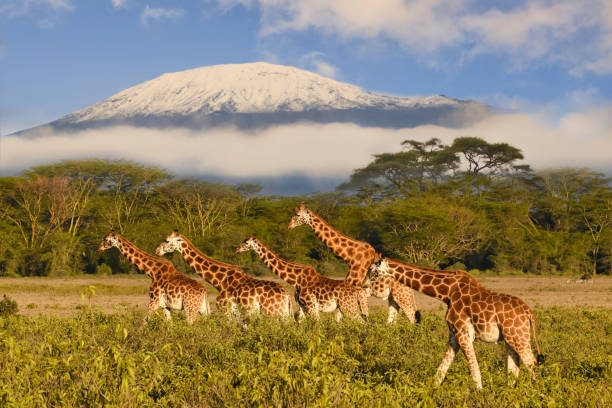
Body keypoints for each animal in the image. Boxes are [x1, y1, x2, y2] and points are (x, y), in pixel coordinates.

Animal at [154, 231, 290, 318]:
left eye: (166, 241)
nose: (157, 250)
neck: (220, 281)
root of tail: (287, 296)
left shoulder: (225, 309)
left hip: (271, 313)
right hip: (284, 315)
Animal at [237, 236, 366, 322]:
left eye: (246, 242)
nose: (237, 249)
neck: (296, 279)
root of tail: (356, 291)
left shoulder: (311, 306)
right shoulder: (303, 307)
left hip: (348, 307)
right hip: (346, 307)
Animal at [290, 202, 418, 324]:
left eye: (298, 215)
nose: (289, 226)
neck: (350, 257)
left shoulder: (355, 291)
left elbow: (343, 317)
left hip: (402, 295)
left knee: (411, 315)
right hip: (394, 297)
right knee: (394, 316)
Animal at [368, 258, 544, 388]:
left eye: (372, 270)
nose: (364, 283)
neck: (447, 293)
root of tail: (529, 312)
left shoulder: (463, 333)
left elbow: (474, 369)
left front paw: (480, 394)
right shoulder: (453, 334)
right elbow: (441, 369)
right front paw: (431, 391)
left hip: (518, 336)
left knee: (531, 363)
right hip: (510, 338)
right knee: (514, 368)